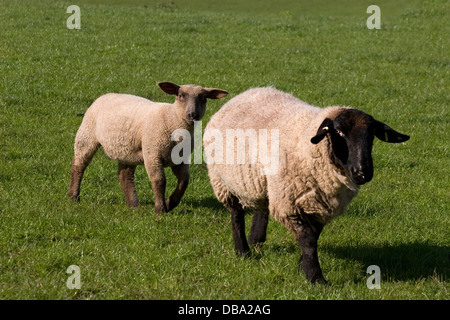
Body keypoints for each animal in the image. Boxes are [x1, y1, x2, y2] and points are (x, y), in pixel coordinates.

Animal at [67, 81, 229, 214]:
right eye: (180, 96)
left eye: (204, 98)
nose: (192, 115)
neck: (172, 119)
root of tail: (106, 94)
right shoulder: (152, 154)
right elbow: (159, 181)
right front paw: (160, 209)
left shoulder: (181, 159)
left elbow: (184, 182)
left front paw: (170, 204)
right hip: (86, 136)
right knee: (78, 164)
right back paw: (74, 196)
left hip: (127, 150)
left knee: (124, 174)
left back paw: (133, 204)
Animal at [203, 86, 408, 284]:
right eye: (339, 132)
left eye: (371, 135)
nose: (362, 172)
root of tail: (246, 93)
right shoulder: (291, 205)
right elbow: (307, 240)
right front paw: (315, 277)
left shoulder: (319, 205)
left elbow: (313, 237)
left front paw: (303, 266)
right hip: (223, 182)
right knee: (236, 215)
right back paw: (243, 252)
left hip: (263, 182)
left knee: (262, 206)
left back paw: (256, 240)